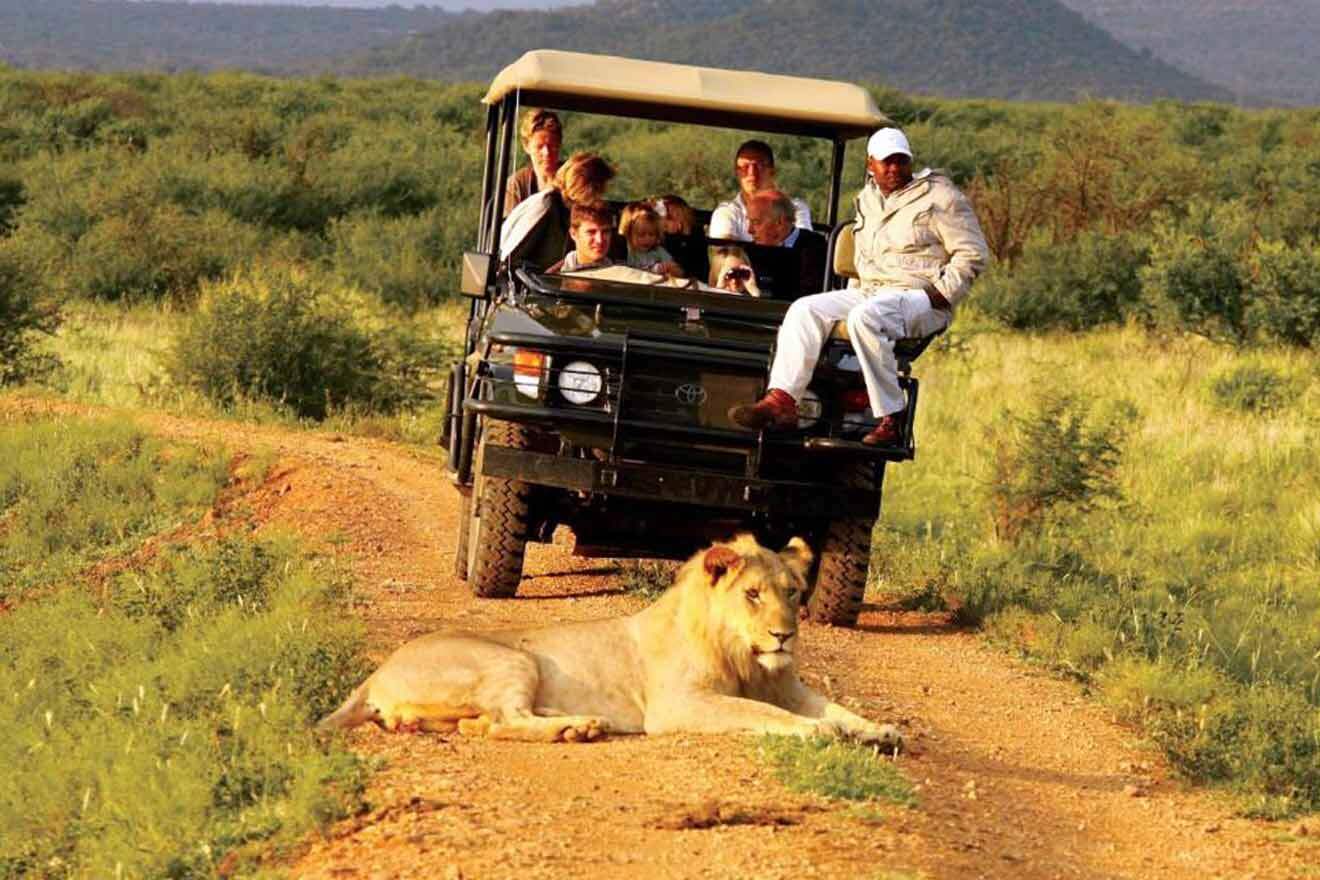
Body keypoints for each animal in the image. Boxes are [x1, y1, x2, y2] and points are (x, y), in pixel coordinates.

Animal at [315, 530, 902, 749]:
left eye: (793, 592)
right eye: (753, 595)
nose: (786, 636)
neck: (747, 659)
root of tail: (376, 671)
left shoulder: (788, 686)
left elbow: (836, 708)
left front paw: (880, 730)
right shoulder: (680, 705)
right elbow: (767, 715)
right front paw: (821, 733)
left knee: (483, 725)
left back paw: (580, 724)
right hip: (513, 661)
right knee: (506, 721)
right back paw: (576, 728)